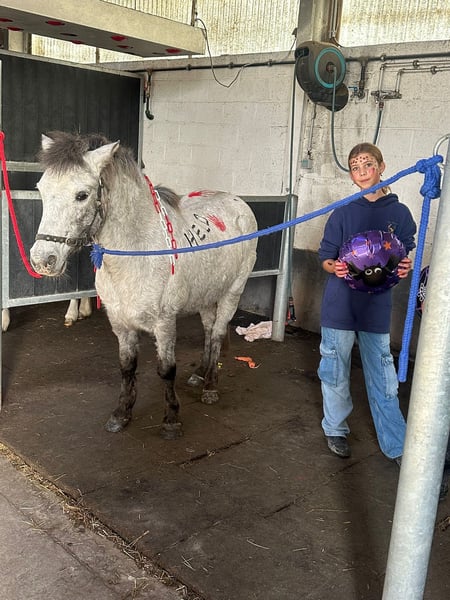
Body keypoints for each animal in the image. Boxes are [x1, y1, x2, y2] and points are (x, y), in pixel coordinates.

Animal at [29, 131, 257, 439]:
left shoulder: (165, 322)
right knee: (209, 331)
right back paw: (199, 374)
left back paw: (210, 386)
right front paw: (121, 414)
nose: (42, 260)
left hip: (232, 292)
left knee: (219, 333)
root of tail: (239, 203)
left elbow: (166, 370)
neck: (138, 253)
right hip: (207, 295)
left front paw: (171, 420)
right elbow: (127, 367)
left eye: (82, 195)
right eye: (41, 190)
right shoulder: (120, 322)